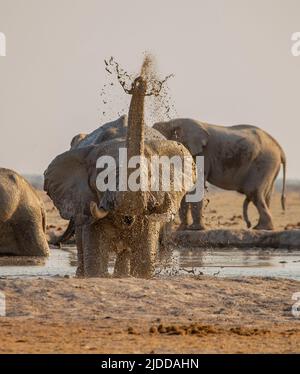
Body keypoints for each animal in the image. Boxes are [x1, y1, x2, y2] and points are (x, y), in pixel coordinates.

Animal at [44, 75, 195, 278]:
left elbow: (144, 256)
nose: (139, 81)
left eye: (148, 178)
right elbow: (95, 256)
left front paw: (139, 277)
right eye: (105, 179)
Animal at [154, 120, 288, 231]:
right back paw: (260, 227)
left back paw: (261, 228)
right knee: (265, 195)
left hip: (265, 162)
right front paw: (182, 229)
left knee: (253, 192)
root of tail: (280, 149)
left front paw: (195, 229)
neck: (171, 122)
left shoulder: (201, 154)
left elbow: (196, 187)